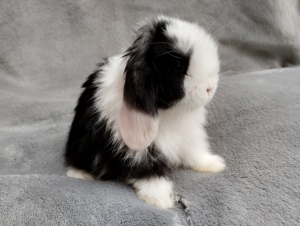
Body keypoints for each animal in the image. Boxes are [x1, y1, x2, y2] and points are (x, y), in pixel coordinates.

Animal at [65, 15, 225, 208]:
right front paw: (161, 199)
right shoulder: (138, 151)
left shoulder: (189, 136)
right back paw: (79, 174)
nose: (211, 88)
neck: (170, 113)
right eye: (177, 63)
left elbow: (194, 153)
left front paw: (213, 164)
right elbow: (147, 172)